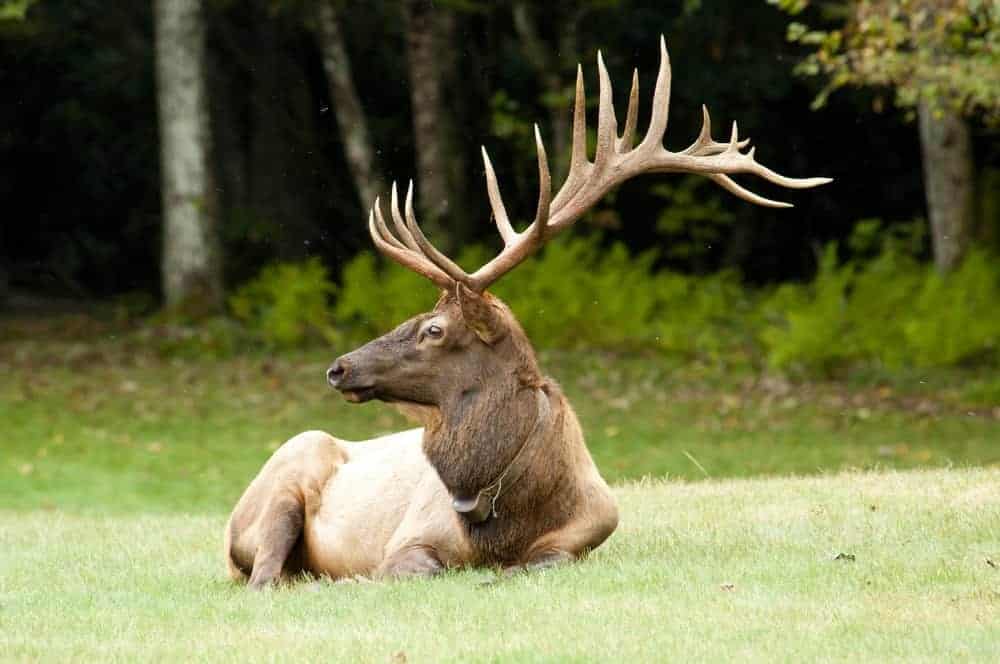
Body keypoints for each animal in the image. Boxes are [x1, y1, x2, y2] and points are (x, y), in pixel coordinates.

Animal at [225, 37, 828, 588]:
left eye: (434, 329)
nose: (339, 367)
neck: (512, 514)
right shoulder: (408, 540)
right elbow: (416, 568)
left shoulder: (586, 535)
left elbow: (540, 562)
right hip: (284, 477)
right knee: (265, 576)